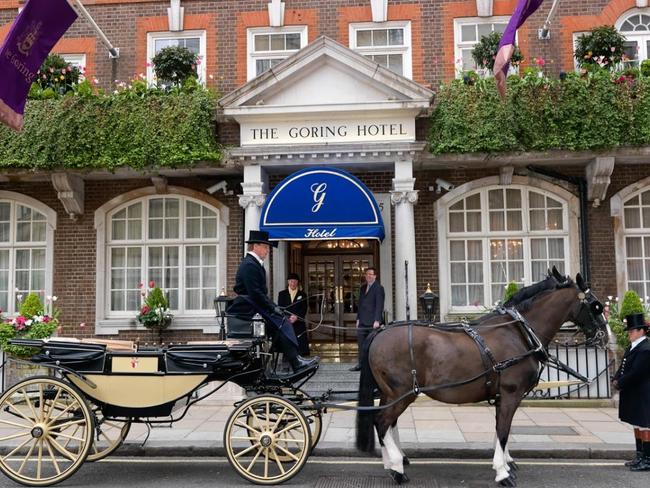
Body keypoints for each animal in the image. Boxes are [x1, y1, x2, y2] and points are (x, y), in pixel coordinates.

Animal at [354, 268, 604, 486]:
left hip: (390, 392)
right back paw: (397, 468)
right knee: (382, 421)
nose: (604, 333)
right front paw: (503, 473)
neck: (519, 333)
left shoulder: (502, 396)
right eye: (596, 306)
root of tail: (380, 332)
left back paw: (391, 462)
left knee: (386, 422)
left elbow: (500, 429)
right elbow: (503, 431)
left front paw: (506, 462)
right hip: (403, 392)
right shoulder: (511, 393)